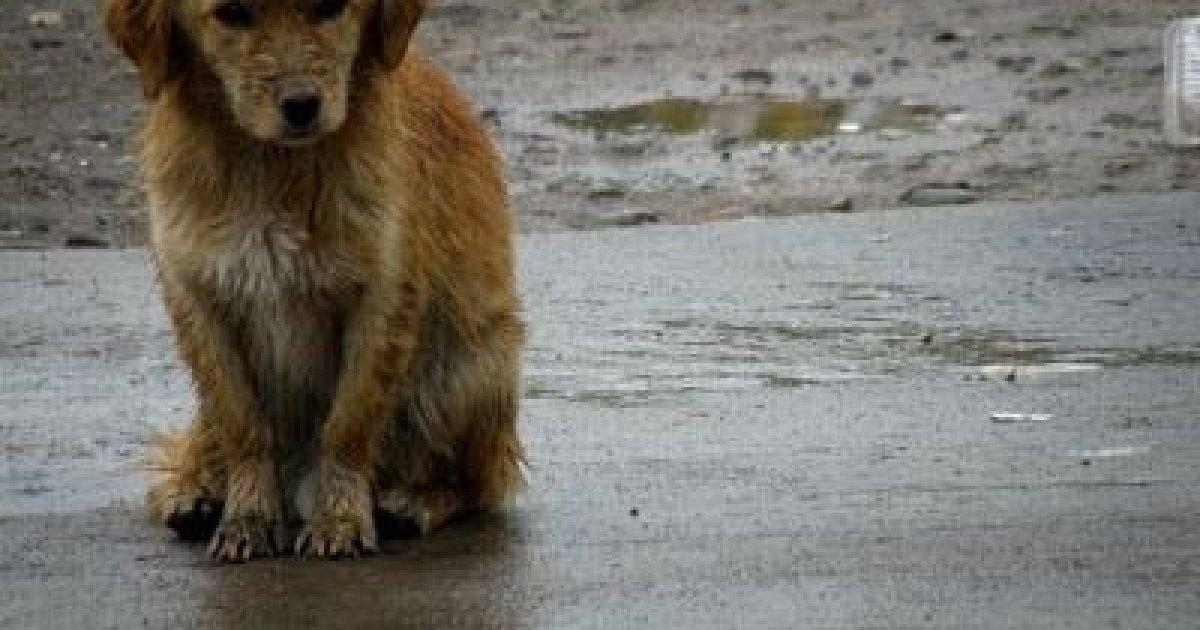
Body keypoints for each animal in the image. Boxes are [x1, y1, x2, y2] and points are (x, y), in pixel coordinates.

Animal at [105, 0, 528, 559]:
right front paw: (248, 517)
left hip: (469, 370)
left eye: (330, 8)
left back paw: (412, 502)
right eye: (231, 14)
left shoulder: (380, 300)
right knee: (199, 446)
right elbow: (242, 424)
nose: (302, 105)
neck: (269, 167)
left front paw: (340, 518)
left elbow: (348, 422)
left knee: (476, 485)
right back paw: (197, 494)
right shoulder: (200, 301)